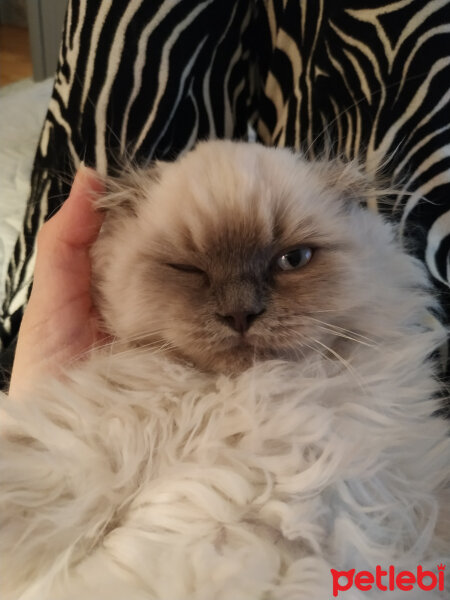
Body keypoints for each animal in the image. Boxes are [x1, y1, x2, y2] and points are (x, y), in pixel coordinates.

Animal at [0, 142, 450, 600]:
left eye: (292, 260)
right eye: (188, 269)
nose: (240, 314)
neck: (248, 391)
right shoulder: (103, 429)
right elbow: (44, 474)